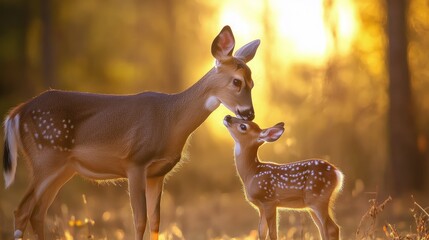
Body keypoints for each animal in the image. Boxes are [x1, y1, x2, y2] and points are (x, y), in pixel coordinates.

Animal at [1, 26, 260, 240]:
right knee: (21, 210)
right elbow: (140, 220)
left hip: (63, 168)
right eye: (237, 81)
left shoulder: (157, 173)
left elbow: (156, 221)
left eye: (253, 82)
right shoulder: (135, 162)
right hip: (45, 156)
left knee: (37, 212)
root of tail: (17, 113)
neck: (170, 119)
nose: (249, 113)